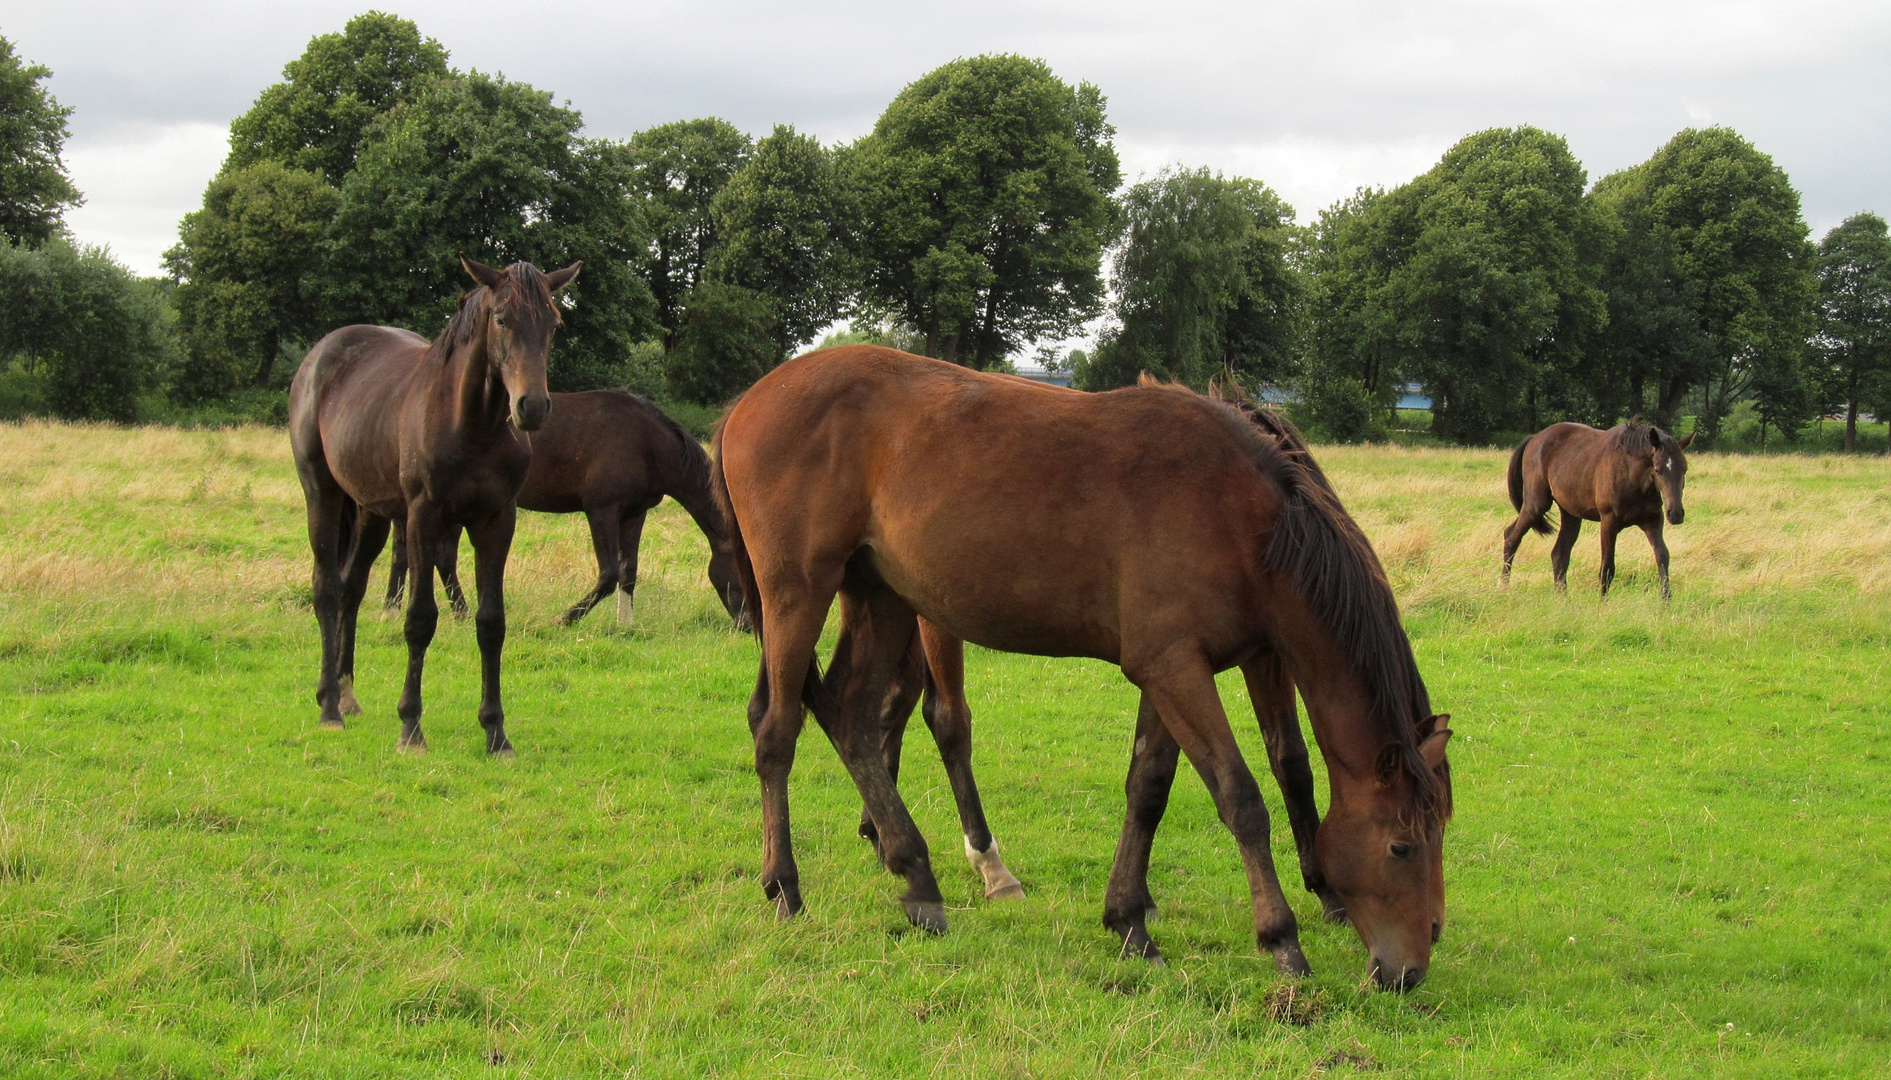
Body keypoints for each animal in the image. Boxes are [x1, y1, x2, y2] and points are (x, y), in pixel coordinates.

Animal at [287, 257, 578, 756]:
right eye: (502, 319)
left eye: (553, 325)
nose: (532, 407)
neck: (473, 424)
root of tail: (318, 357)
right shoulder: (424, 517)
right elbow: (420, 619)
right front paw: (411, 727)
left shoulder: (496, 520)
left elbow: (491, 622)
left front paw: (496, 733)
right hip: (322, 493)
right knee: (326, 588)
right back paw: (328, 708)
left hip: (370, 513)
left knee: (350, 589)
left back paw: (346, 694)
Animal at [383, 391, 745, 627]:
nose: (747, 626)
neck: (647, 442)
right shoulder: (602, 510)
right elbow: (609, 574)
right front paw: (566, 619)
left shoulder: (635, 513)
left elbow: (628, 571)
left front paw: (625, 625)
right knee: (436, 556)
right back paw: (449, 612)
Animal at [714, 348, 1452, 998]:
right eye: (1400, 848)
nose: (1410, 970)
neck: (1240, 515)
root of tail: (749, 401)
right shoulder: (1177, 670)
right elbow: (1241, 799)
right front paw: (1283, 941)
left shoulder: (1171, 671)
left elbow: (1148, 789)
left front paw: (1129, 922)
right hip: (799, 593)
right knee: (778, 732)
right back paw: (786, 888)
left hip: (881, 598)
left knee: (853, 720)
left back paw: (917, 881)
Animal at [1505, 418, 1701, 601]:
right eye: (1658, 469)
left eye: (1684, 469)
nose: (1675, 514)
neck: (1631, 475)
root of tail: (1534, 438)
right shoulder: (1608, 521)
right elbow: (1607, 566)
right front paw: (1602, 603)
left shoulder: (1653, 520)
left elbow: (1662, 557)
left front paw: (1666, 602)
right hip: (1536, 504)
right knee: (1511, 537)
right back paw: (1503, 587)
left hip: (1570, 513)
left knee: (1559, 554)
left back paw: (1562, 598)